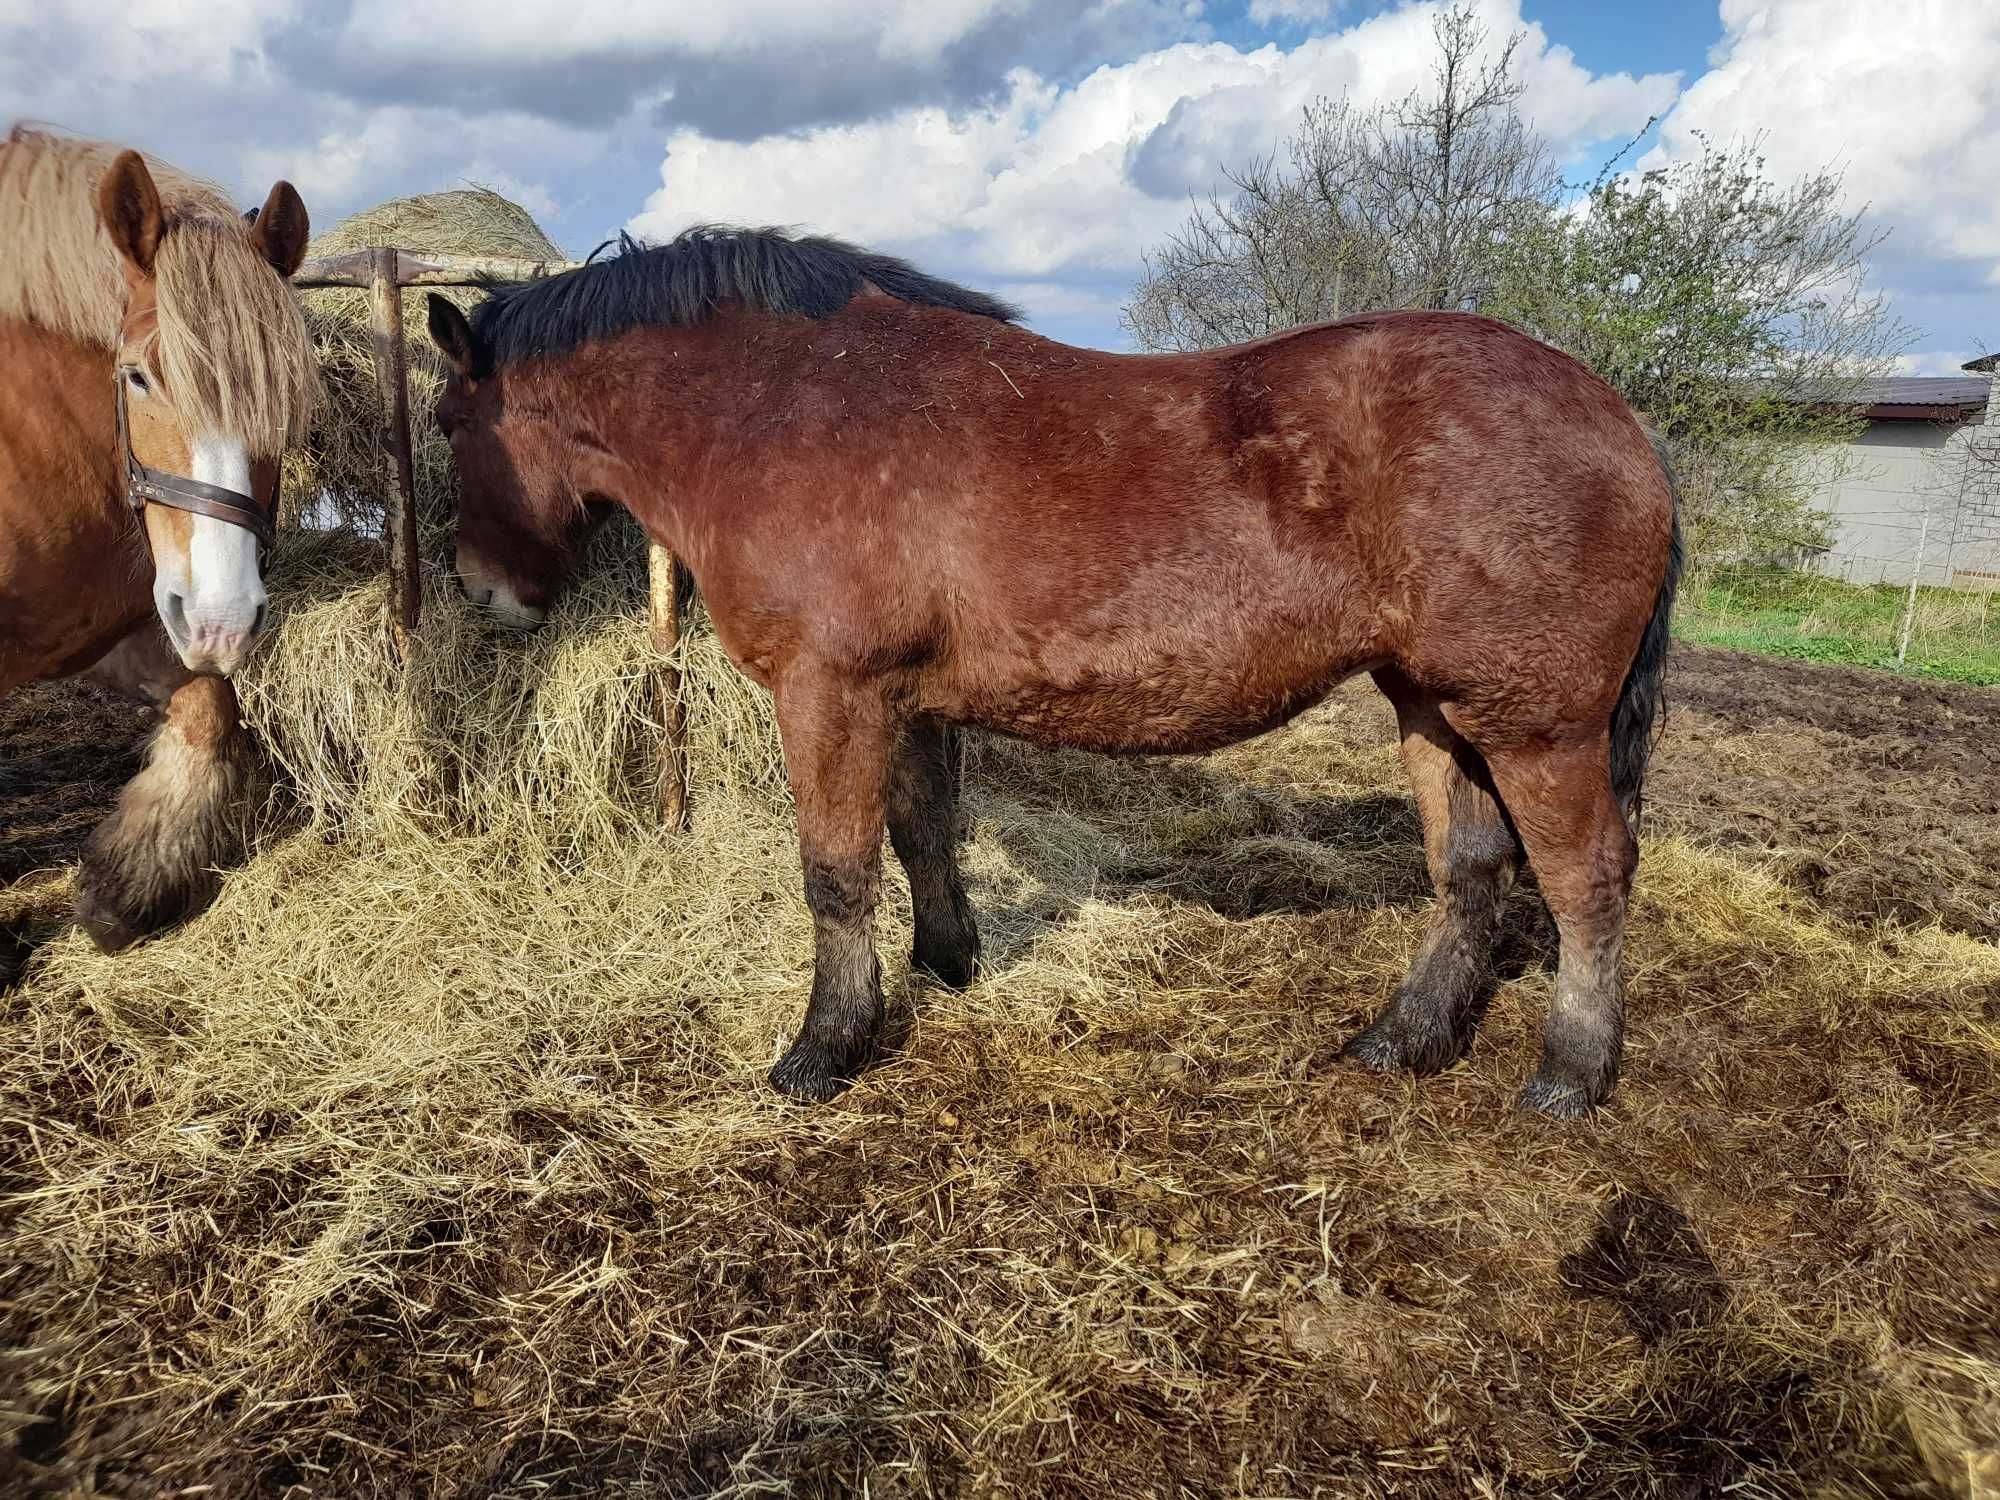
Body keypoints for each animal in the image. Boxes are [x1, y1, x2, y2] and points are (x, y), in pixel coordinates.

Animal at [1, 132, 314, 952]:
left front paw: (125, 884)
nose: (223, 621)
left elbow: (212, 706)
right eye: (138, 377)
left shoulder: (114, 630)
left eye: (287, 395)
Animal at [430, 229, 1680, 1120]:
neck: (782, 408)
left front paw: (824, 1047)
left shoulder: (827, 691)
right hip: (1435, 707)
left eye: (446, 423)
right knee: (1468, 871)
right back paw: (1404, 1039)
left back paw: (1569, 1075)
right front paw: (942, 966)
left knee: (1586, 880)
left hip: (1536, 726)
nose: (482, 594)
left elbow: (835, 874)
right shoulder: (902, 702)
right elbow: (918, 837)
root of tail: (1616, 418)